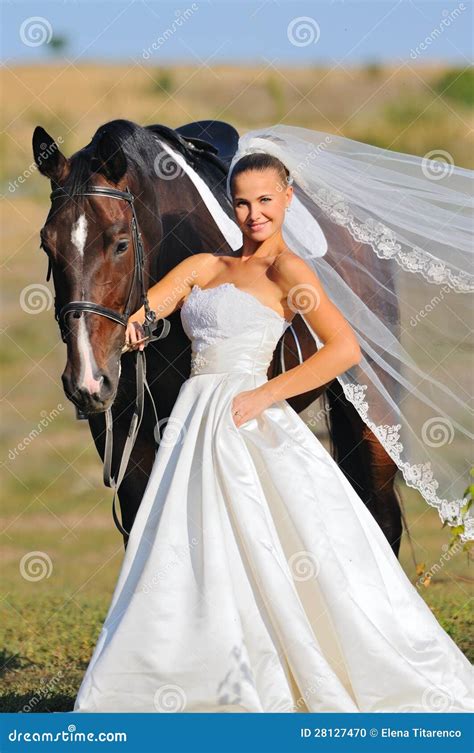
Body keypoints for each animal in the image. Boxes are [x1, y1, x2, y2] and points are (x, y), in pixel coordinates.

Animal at [32, 116, 404, 552]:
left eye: (121, 243)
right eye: (47, 245)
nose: (89, 380)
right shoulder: (127, 440)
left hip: (372, 411)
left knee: (383, 519)